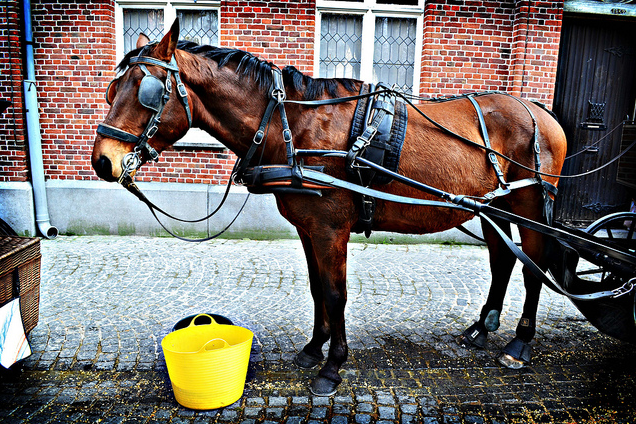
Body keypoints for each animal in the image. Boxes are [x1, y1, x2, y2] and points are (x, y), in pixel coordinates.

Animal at [90, 21, 568, 396]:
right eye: (113, 89)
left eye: (149, 92)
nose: (102, 161)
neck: (289, 124)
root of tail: (540, 110)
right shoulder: (308, 227)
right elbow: (317, 288)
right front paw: (311, 350)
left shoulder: (331, 228)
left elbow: (336, 293)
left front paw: (332, 366)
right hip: (495, 209)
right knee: (503, 262)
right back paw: (480, 329)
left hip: (529, 206)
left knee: (533, 269)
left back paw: (519, 345)